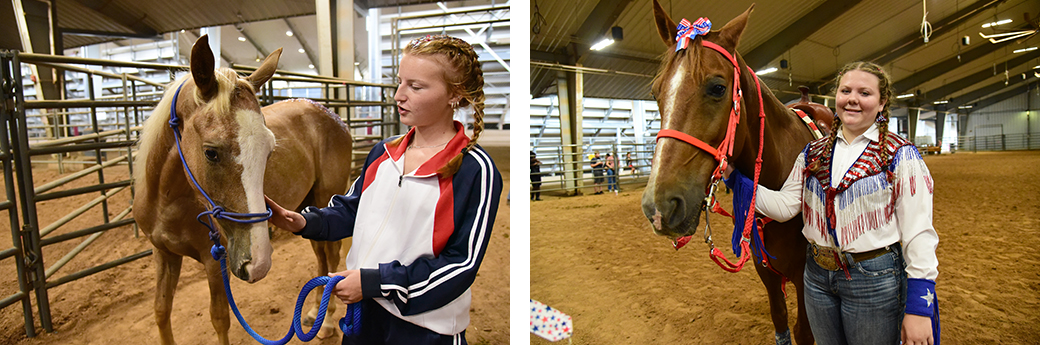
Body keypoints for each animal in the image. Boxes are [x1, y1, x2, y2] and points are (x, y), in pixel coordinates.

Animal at [132, 36, 353, 342]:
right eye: (211, 152)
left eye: (270, 150)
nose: (257, 263)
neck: (167, 201)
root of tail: (333, 117)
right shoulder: (163, 254)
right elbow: (161, 311)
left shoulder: (215, 261)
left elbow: (220, 319)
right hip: (305, 208)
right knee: (321, 254)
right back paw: (313, 313)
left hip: (323, 198)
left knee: (331, 256)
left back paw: (328, 321)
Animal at [636, 1, 832, 342]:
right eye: (656, 92)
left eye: (717, 87)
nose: (658, 207)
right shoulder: (766, 271)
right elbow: (780, 320)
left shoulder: (806, 279)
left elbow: (804, 332)